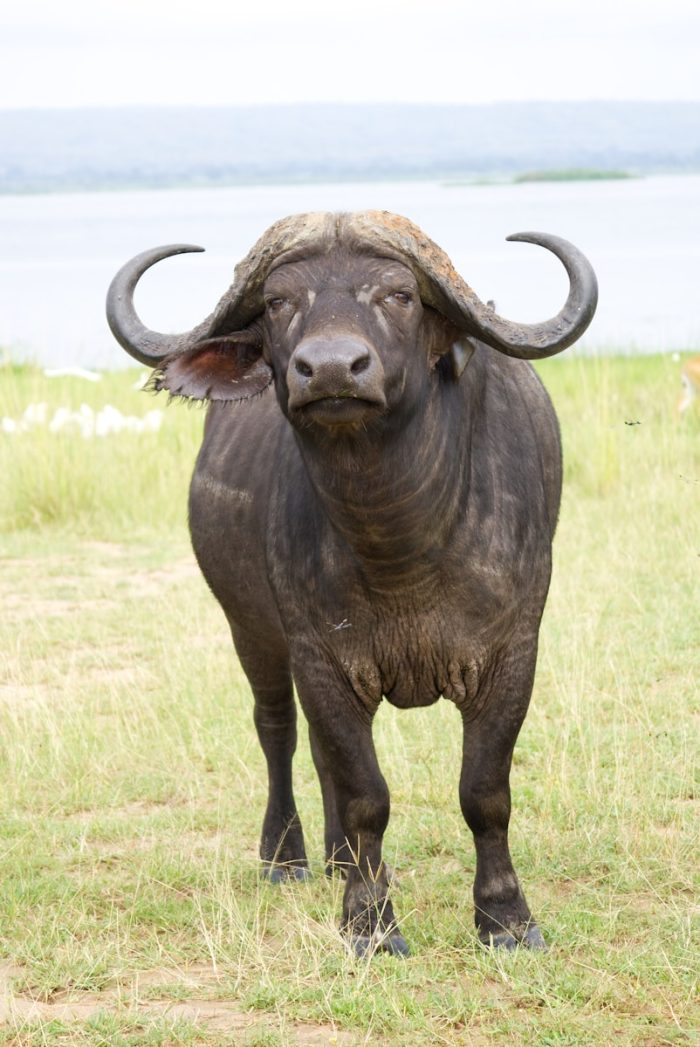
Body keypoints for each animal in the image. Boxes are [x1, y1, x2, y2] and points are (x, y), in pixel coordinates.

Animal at [107, 211, 597, 956]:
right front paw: (370, 922)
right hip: (250, 629)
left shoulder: (513, 653)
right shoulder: (321, 657)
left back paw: (339, 857)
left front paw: (506, 918)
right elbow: (367, 792)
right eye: (279, 301)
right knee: (279, 731)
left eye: (399, 294)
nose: (332, 368)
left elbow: (485, 791)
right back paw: (289, 856)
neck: (399, 544)